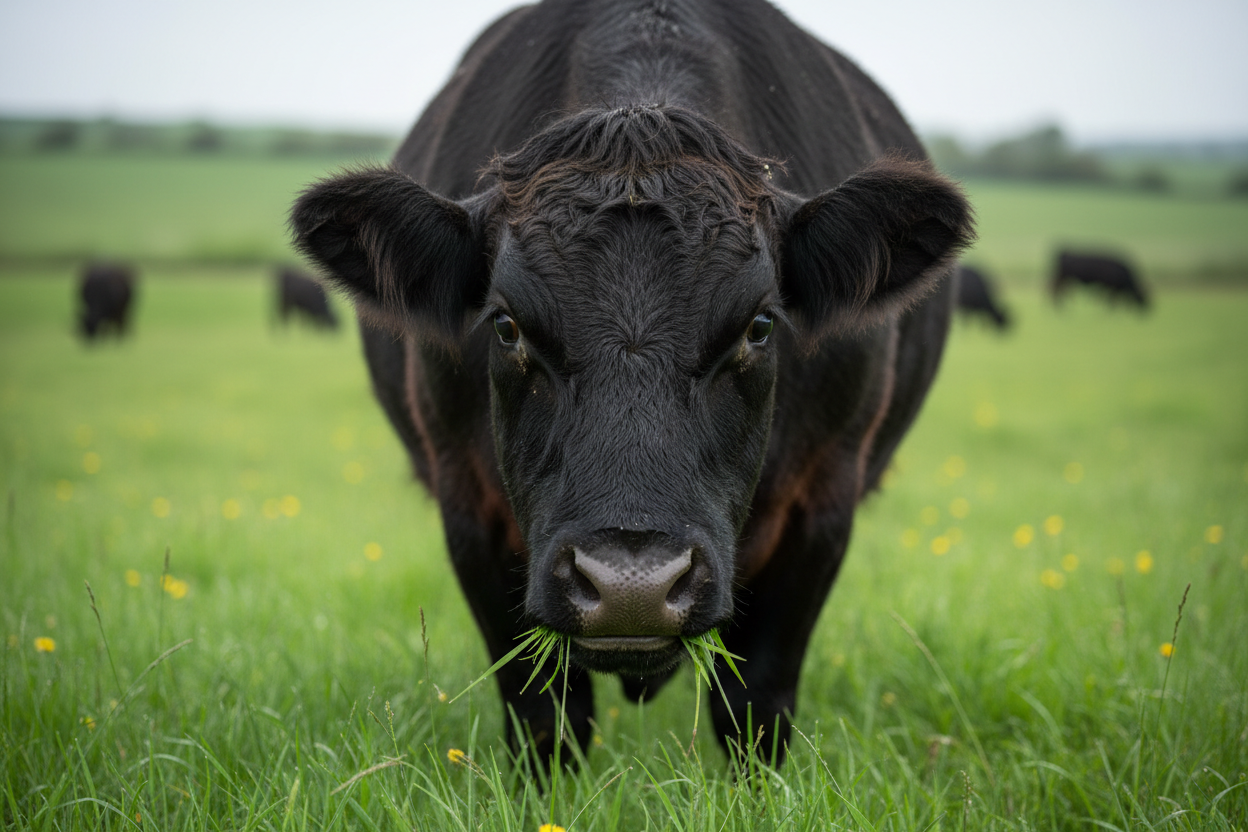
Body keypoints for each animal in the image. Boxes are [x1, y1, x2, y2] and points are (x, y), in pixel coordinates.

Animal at [290, 0, 974, 767]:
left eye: (760, 325)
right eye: (507, 325)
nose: (632, 587)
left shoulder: (822, 496)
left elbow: (754, 707)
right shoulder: (468, 501)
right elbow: (544, 716)